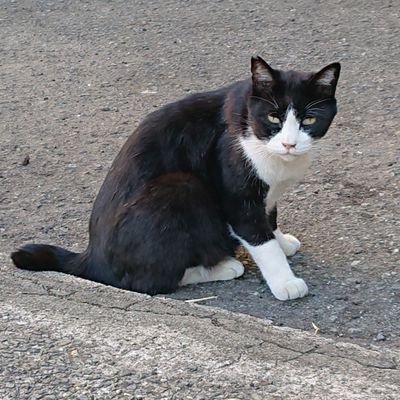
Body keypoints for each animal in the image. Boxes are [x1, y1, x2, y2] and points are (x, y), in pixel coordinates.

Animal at [10, 56, 340, 300]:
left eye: (309, 119)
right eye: (273, 117)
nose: (289, 144)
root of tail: (92, 257)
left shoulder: (267, 194)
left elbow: (269, 218)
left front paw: (282, 241)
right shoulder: (237, 192)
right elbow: (259, 237)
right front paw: (285, 281)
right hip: (181, 187)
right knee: (147, 283)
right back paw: (221, 268)